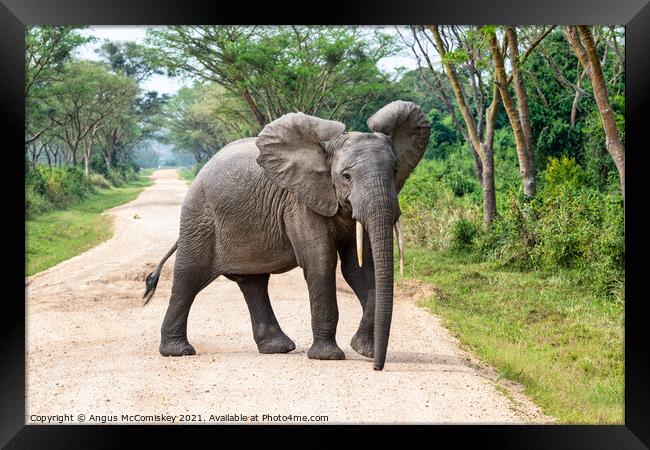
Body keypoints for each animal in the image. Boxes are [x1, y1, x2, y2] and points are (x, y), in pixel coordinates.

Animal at [142, 100, 430, 370]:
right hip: (199, 217)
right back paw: (178, 351)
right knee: (189, 276)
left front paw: (363, 350)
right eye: (346, 176)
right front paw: (328, 357)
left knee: (253, 283)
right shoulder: (299, 203)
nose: (377, 367)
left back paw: (277, 348)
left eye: (395, 171)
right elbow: (321, 262)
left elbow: (359, 269)